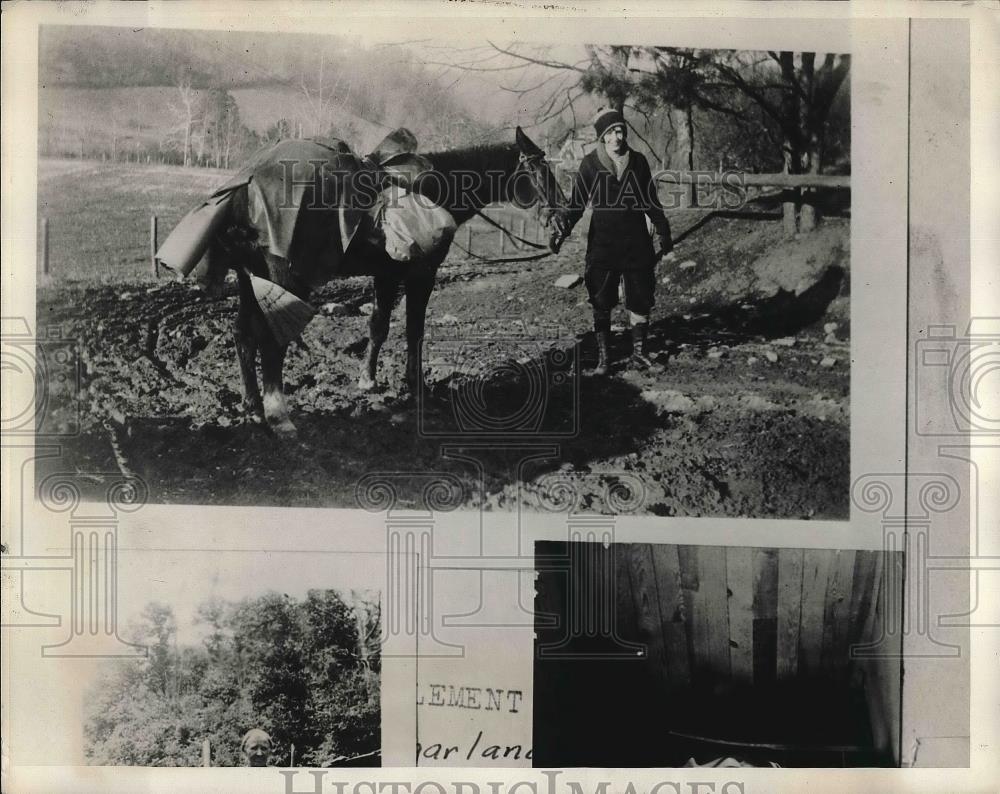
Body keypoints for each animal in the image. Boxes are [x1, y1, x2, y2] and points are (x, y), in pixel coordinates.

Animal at [201, 127, 572, 436]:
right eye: (541, 174)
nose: (564, 224)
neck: (434, 189)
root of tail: (245, 190)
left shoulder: (387, 275)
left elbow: (378, 327)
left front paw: (368, 379)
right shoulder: (421, 275)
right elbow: (413, 330)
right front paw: (416, 387)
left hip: (250, 279)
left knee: (242, 333)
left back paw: (252, 404)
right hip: (282, 280)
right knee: (269, 340)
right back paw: (279, 416)